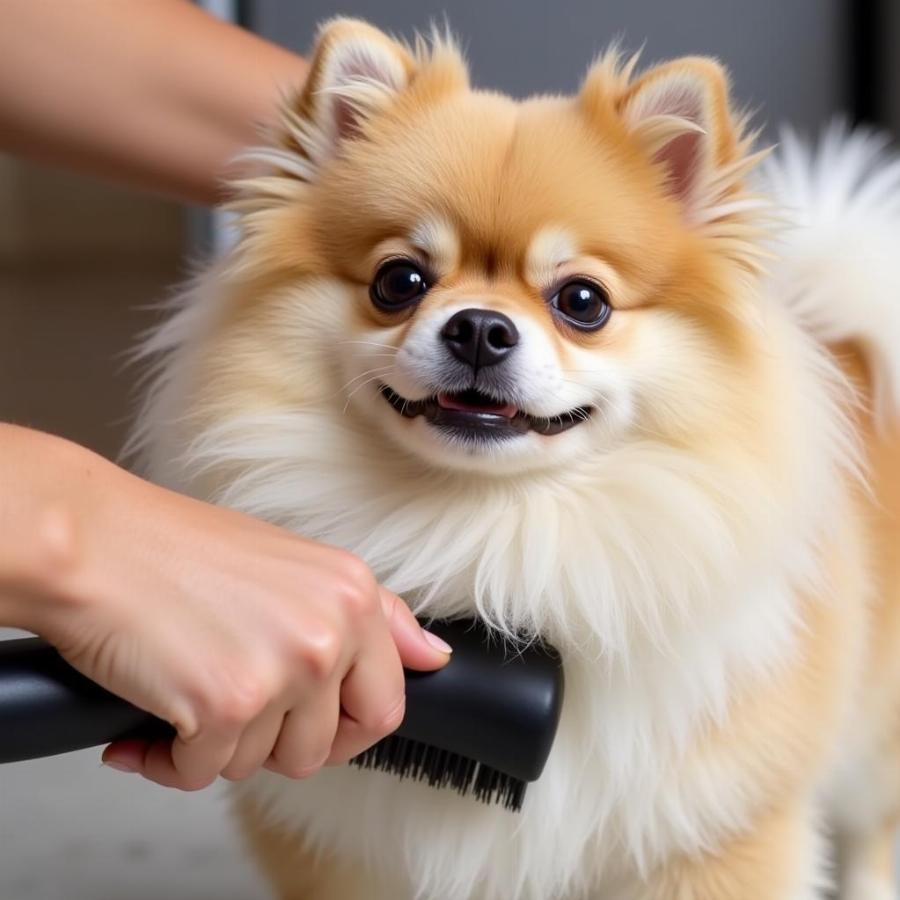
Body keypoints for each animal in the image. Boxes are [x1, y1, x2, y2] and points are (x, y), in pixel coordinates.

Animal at [132, 15, 900, 900]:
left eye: (583, 301)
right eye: (399, 281)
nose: (478, 327)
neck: (493, 541)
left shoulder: (714, 833)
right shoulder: (339, 841)